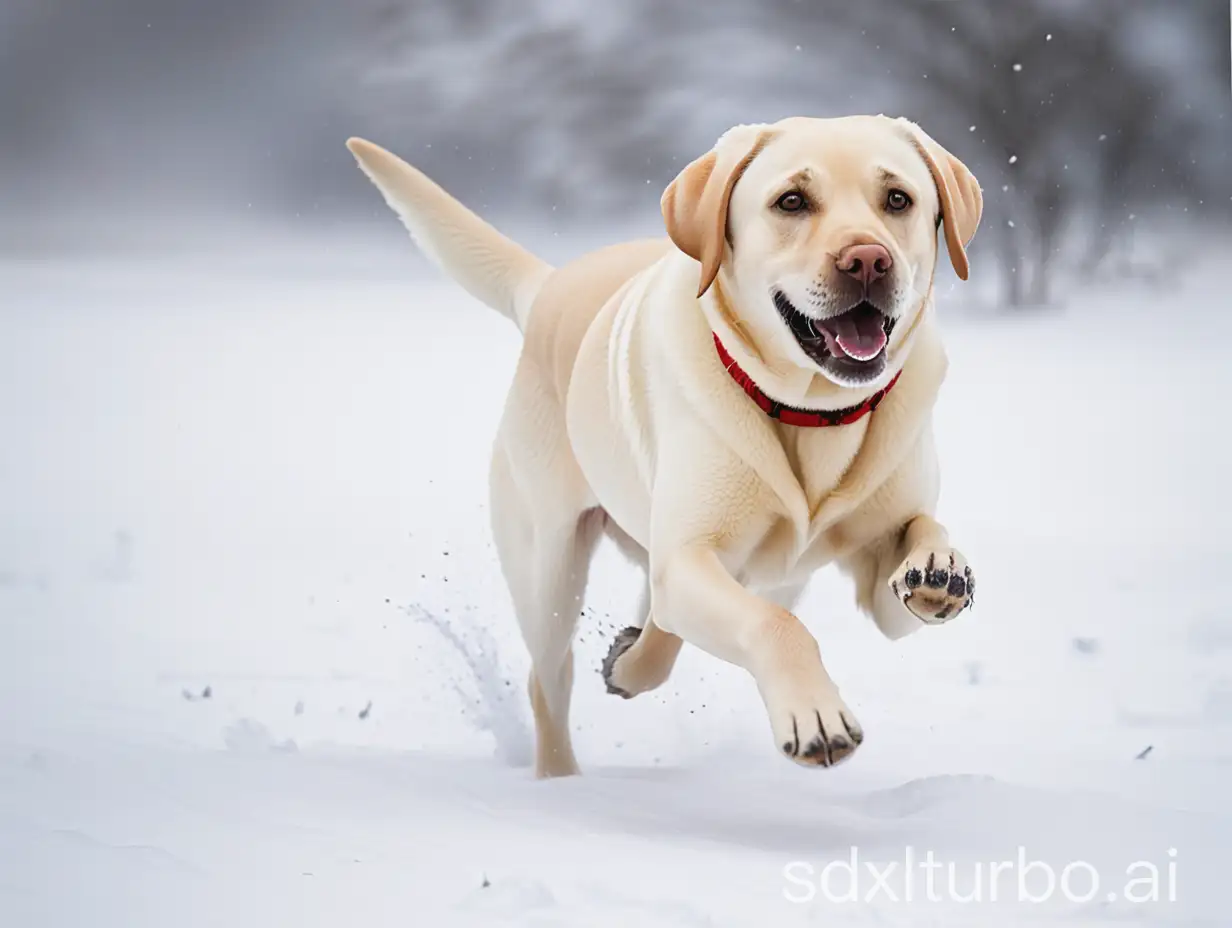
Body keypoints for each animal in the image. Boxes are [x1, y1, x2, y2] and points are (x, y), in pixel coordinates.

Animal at [347, 117, 980, 783]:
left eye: (898, 199)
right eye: (792, 201)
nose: (868, 260)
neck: (813, 412)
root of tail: (547, 286)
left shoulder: (874, 584)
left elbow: (920, 534)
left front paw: (939, 568)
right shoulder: (690, 556)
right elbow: (775, 624)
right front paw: (815, 715)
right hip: (548, 566)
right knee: (550, 678)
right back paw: (560, 777)